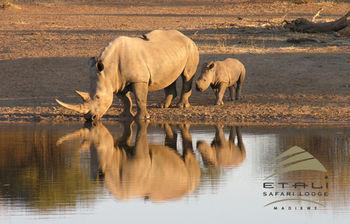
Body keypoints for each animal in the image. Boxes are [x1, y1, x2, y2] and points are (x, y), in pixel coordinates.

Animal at [55, 30, 198, 121]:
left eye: (98, 97)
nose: (90, 118)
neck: (108, 70)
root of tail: (186, 37)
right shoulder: (117, 81)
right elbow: (125, 99)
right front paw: (124, 116)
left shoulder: (139, 80)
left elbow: (140, 98)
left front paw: (143, 118)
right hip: (169, 53)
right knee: (169, 77)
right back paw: (162, 106)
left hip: (191, 48)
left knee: (187, 76)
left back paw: (181, 106)